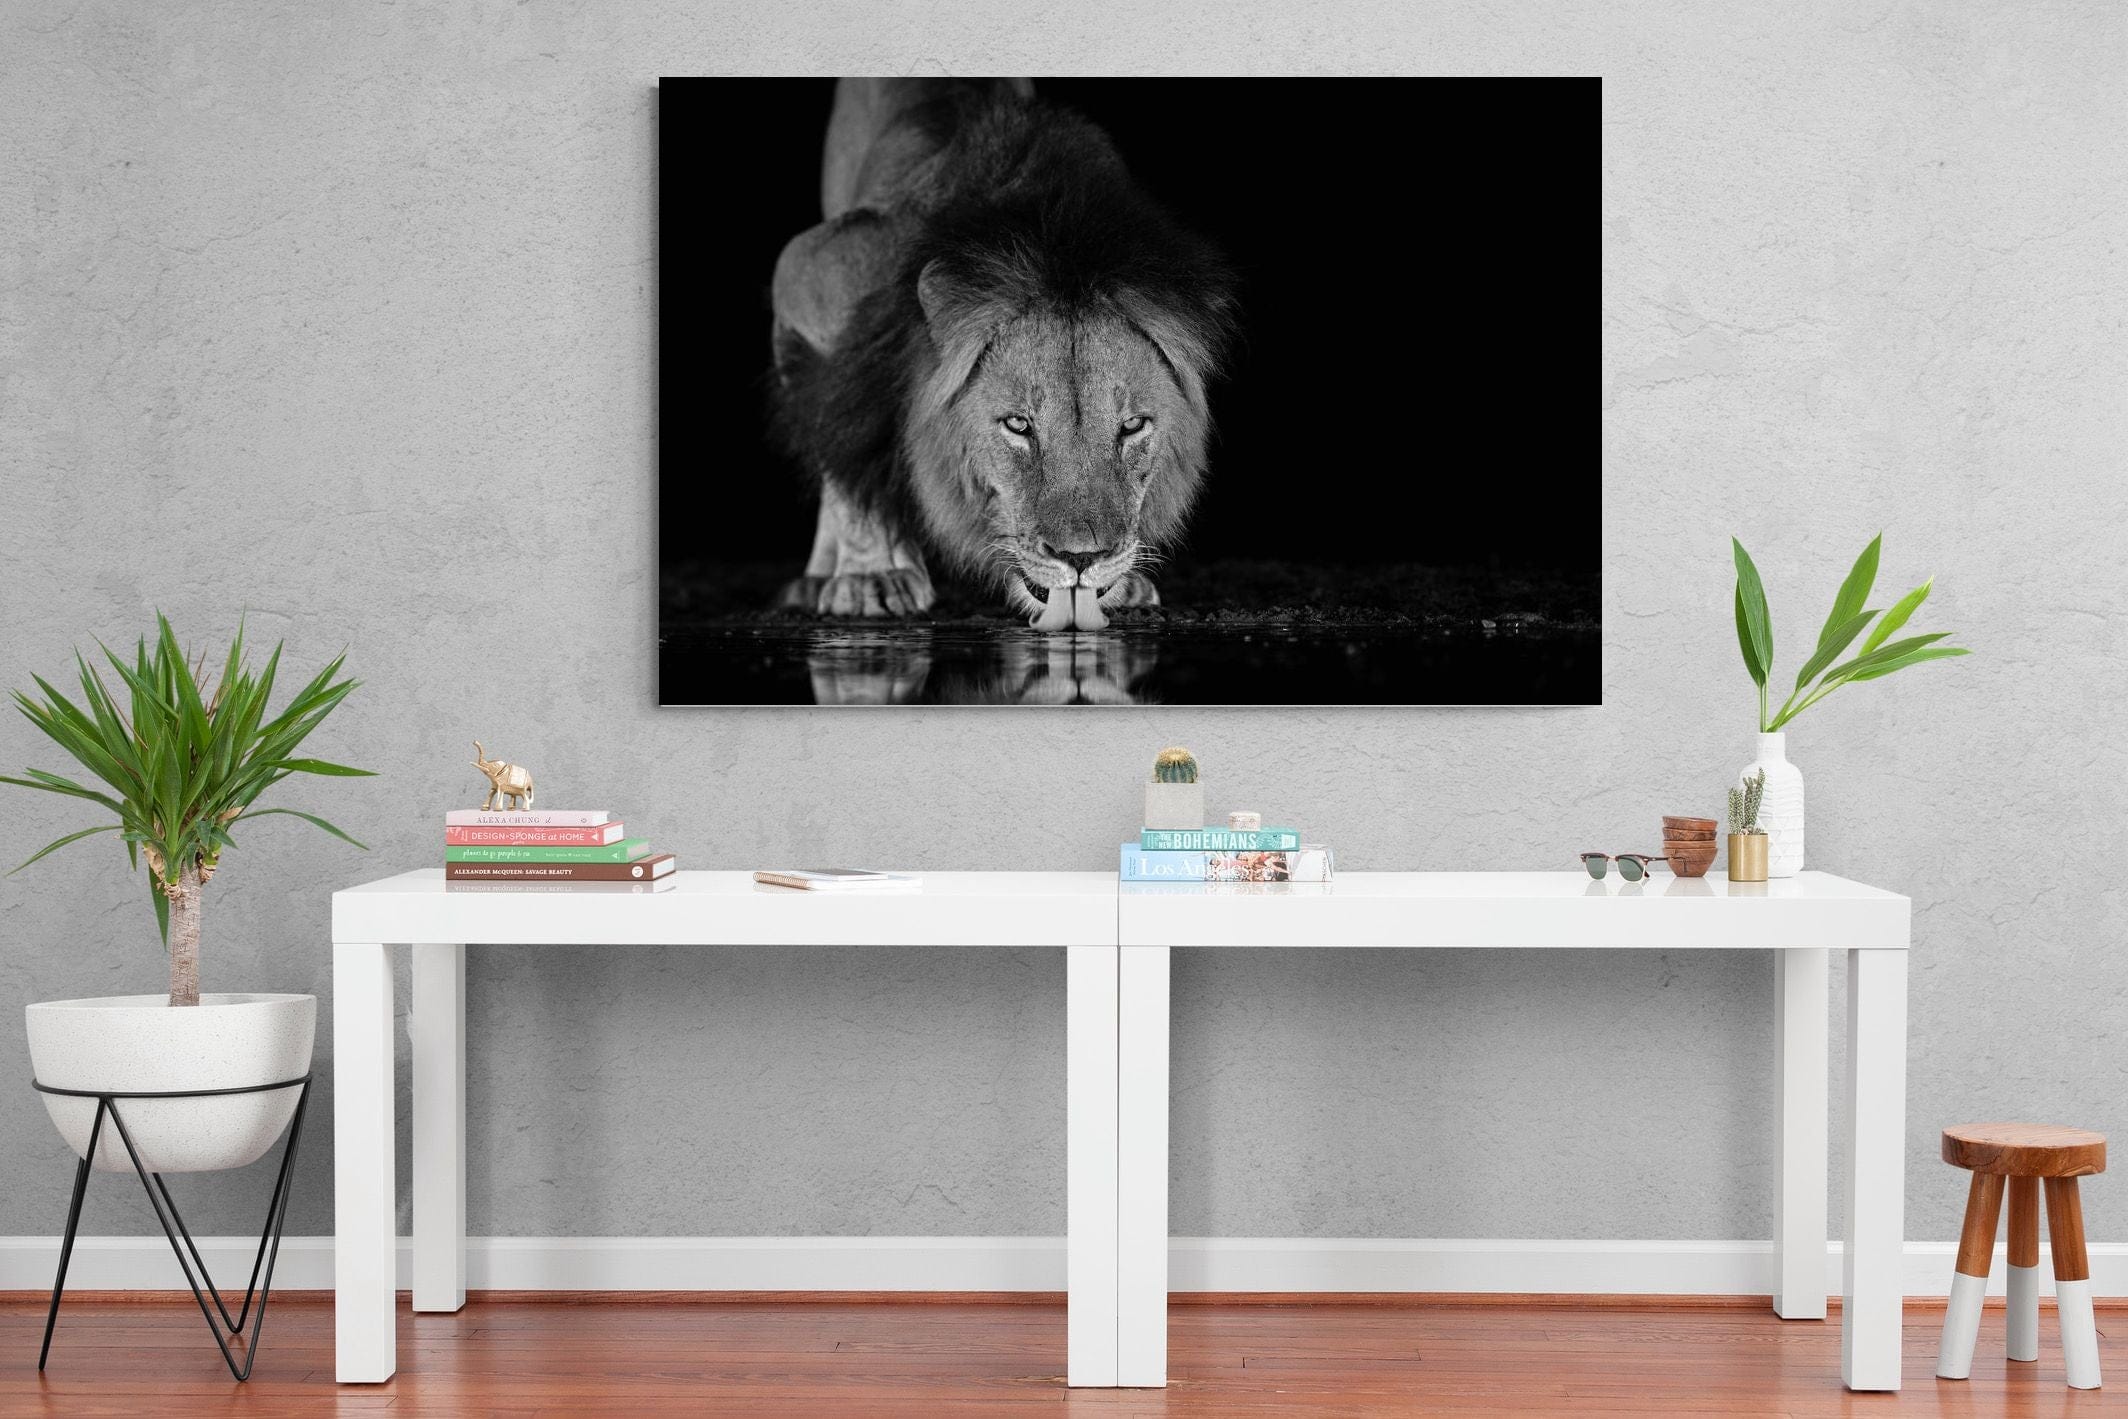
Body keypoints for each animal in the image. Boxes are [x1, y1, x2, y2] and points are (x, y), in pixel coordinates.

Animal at [769, 79, 1236, 632]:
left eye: (1132, 426)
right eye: (1018, 425)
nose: (1082, 558)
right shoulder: (808, 274)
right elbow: (846, 435)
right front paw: (870, 576)